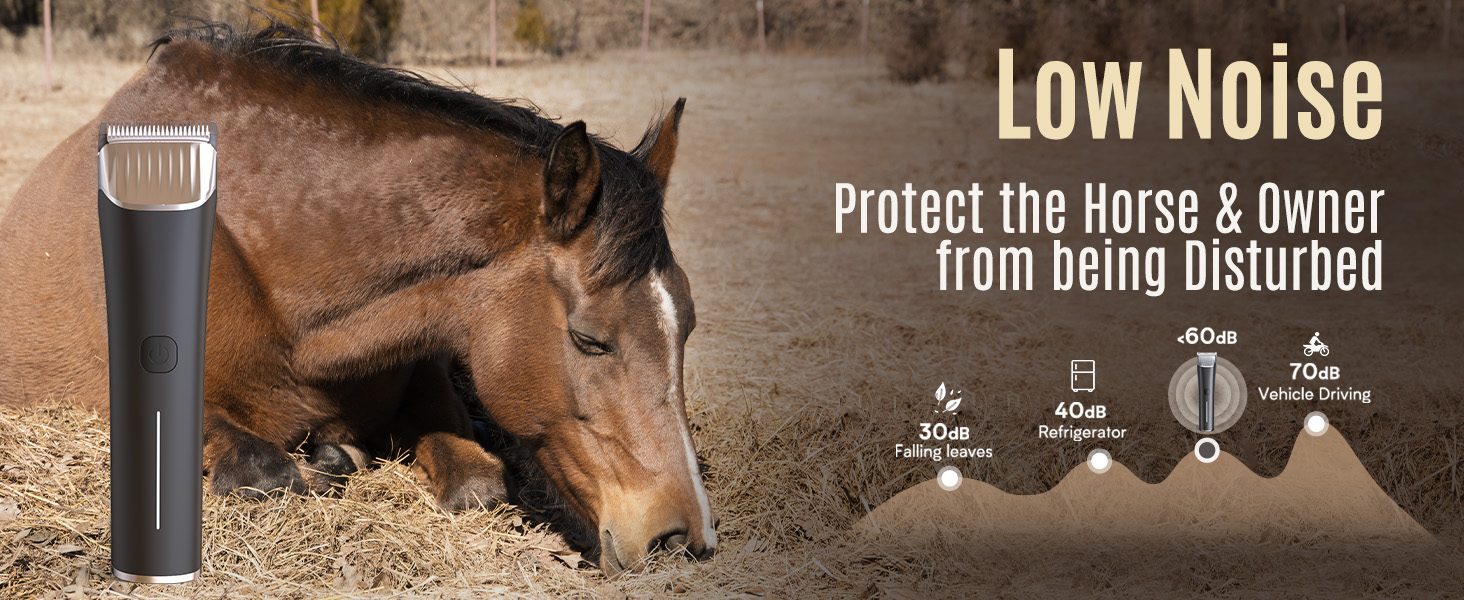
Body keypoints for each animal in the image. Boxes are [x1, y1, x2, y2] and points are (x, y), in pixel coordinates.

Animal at [0, 22, 716, 573]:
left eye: (686, 328)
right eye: (590, 339)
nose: (683, 537)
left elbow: (480, 482)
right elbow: (268, 472)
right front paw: (327, 457)